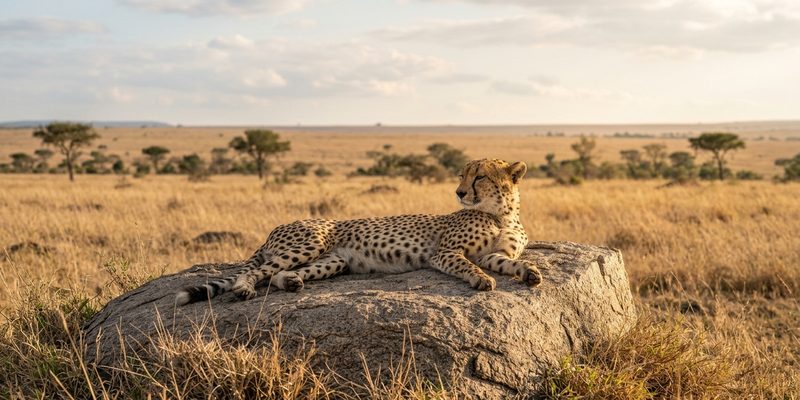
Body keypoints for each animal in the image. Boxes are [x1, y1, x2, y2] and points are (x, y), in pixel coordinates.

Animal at [175, 158, 542, 306]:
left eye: (479, 176)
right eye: (462, 175)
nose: (459, 192)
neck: (501, 214)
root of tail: (274, 229)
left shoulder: (495, 254)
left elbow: (511, 262)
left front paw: (531, 273)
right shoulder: (445, 253)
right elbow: (468, 265)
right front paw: (480, 279)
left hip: (335, 261)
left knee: (278, 275)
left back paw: (292, 282)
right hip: (311, 241)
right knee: (256, 272)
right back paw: (244, 289)